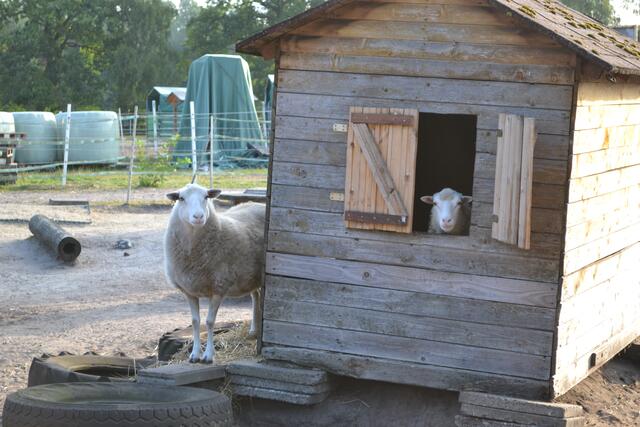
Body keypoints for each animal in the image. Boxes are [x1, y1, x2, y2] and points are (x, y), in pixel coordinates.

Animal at [164, 183, 265, 363]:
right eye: (181, 198)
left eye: (206, 197)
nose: (198, 216)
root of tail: (257, 204)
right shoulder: (189, 290)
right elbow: (195, 321)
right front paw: (194, 354)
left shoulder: (219, 286)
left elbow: (210, 322)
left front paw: (208, 355)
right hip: (251, 276)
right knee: (255, 296)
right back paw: (253, 331)